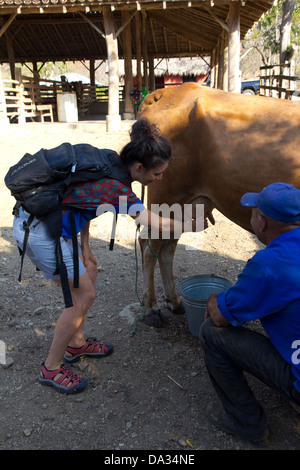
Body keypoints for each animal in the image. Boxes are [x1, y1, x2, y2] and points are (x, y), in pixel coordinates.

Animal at [138, 81, 300, 326]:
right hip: (164, 196)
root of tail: (168, 91)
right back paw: (151, 310)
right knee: (150, 248)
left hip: (183, 203)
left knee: (166, 248)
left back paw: (174, 302)